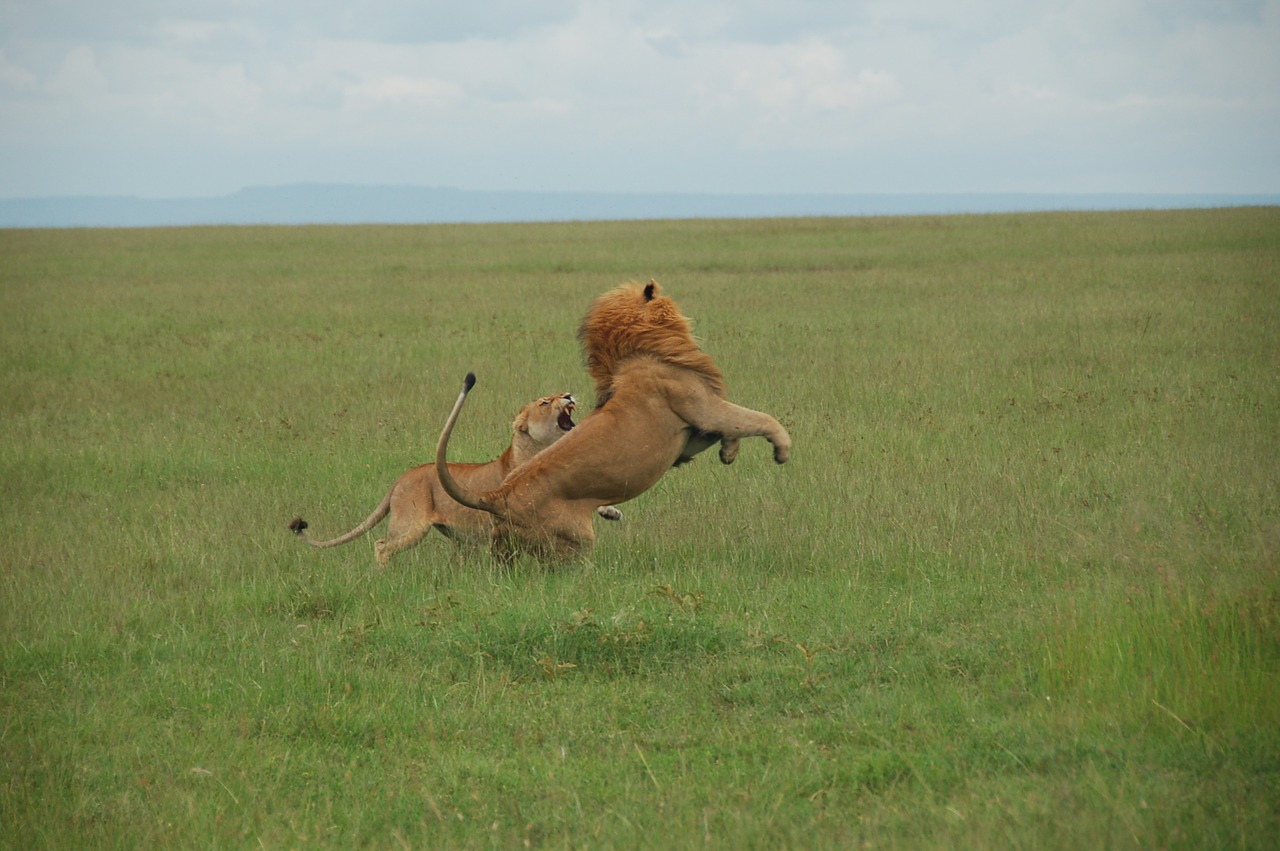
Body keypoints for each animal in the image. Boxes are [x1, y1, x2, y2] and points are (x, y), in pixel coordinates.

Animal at [290, 391, 619, 563]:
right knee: (382, 544)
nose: (568, 395)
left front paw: (610, 511)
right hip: (411, 526)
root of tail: (402, 477)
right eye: (544, 402)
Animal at [435, 281, 783, 560]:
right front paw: (781, 450)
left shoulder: (690, 436)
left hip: (503, 548)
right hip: (573, 541)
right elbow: (758, 419)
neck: (635, 349)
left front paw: (729, 453)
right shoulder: (702, 407)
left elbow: (733, 429)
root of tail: (498, 495)